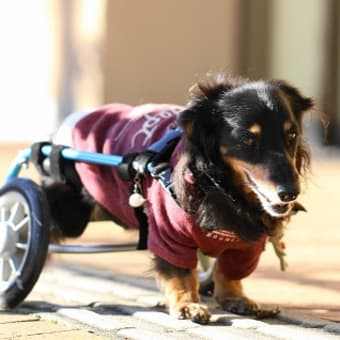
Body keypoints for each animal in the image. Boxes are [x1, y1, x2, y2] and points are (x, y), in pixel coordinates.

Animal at [42, 74, 314, 324]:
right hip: (70, 216)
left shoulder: (246, 245)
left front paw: (236, 299)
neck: (222, 189)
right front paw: (188, 304)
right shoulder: (169, 234)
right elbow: (181, 272)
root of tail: (77, 118)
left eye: (291, 135)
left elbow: (229, 272)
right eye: (247, 139)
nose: (290, 192)